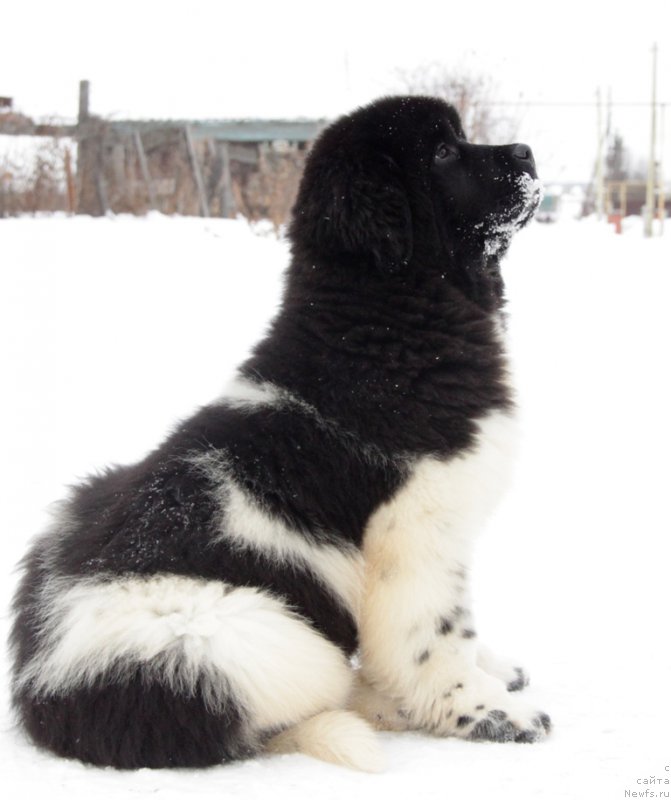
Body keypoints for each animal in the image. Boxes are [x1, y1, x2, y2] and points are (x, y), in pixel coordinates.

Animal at [10, 97, 548, 772]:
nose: (527, 151)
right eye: (446, 151)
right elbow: (438, 634)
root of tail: (42, 691)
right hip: (241, 632)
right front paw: (488, 713)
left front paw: (493, 671)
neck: (386, 323)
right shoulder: (416, 529)